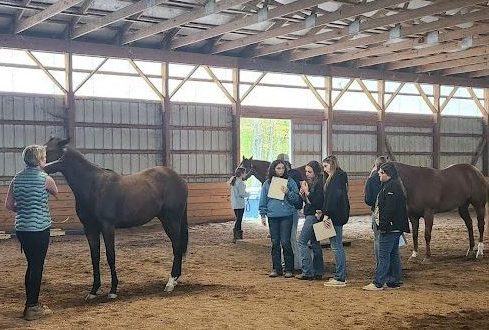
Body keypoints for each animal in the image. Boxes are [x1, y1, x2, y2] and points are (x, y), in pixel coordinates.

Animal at [43, 137, 188, 300]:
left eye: (49, 151)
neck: (93, 186)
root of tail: (179, 179)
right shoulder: (90, 228)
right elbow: (95, 257)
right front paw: (93, 291)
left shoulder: (107, 226)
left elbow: (110, 255)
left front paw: (113, 290)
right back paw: (175, 280)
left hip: (171, 220)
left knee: (177, 246)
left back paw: (170, 283)